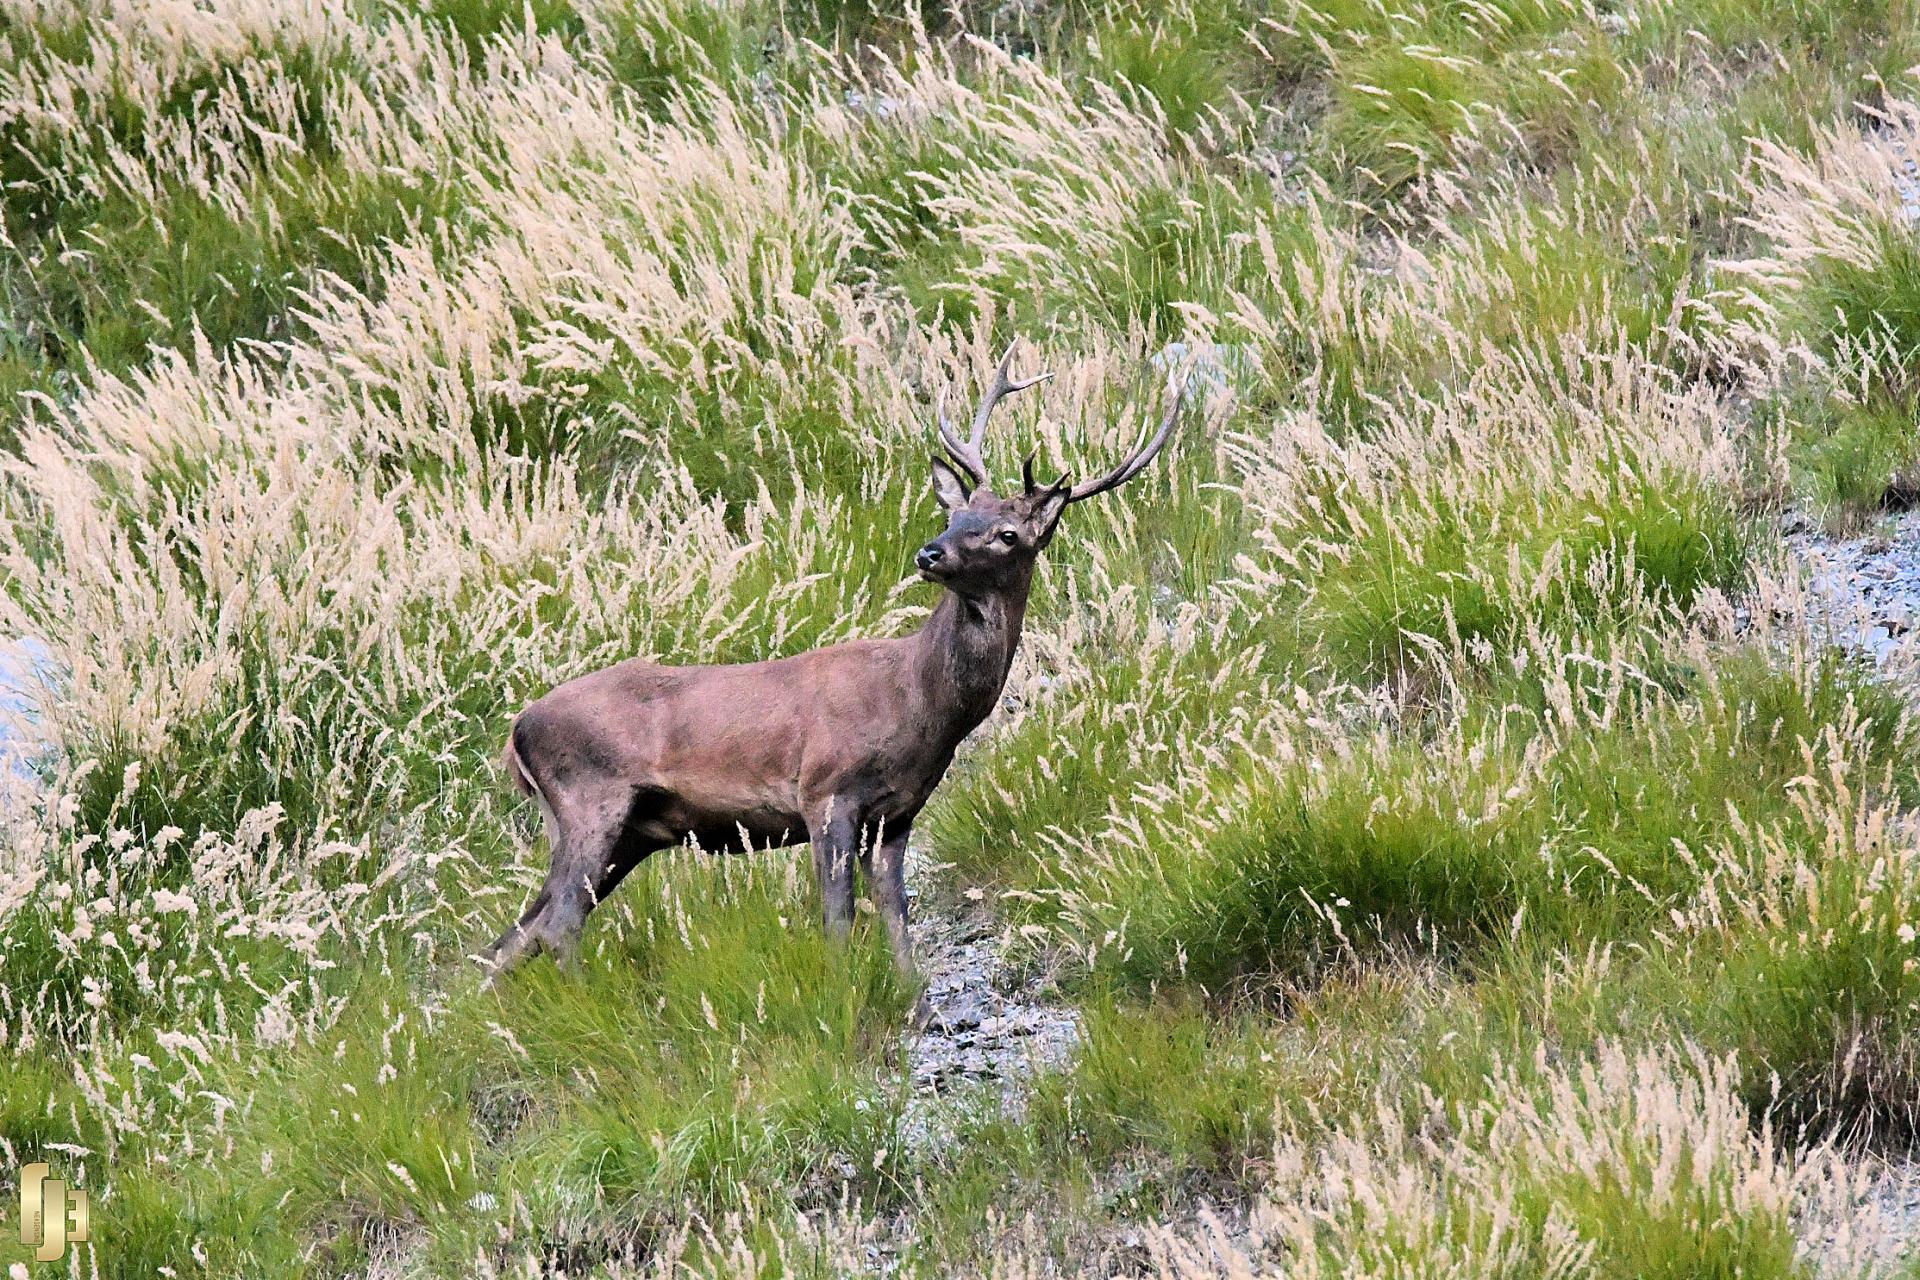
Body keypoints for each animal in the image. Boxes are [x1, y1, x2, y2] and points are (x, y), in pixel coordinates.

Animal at [483, 345, 1182, 1013]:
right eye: (956, 515)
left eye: (1006, 532)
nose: (931, 552)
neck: (918, 702)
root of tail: (516, 729)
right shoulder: (825, 791)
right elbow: (839, 921)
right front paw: (847, 997)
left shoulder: (898, 814)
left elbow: (898, 921)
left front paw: (916, 1005)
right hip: (590, 800)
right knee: (557, 926)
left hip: (621, 831)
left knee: (511, 939)